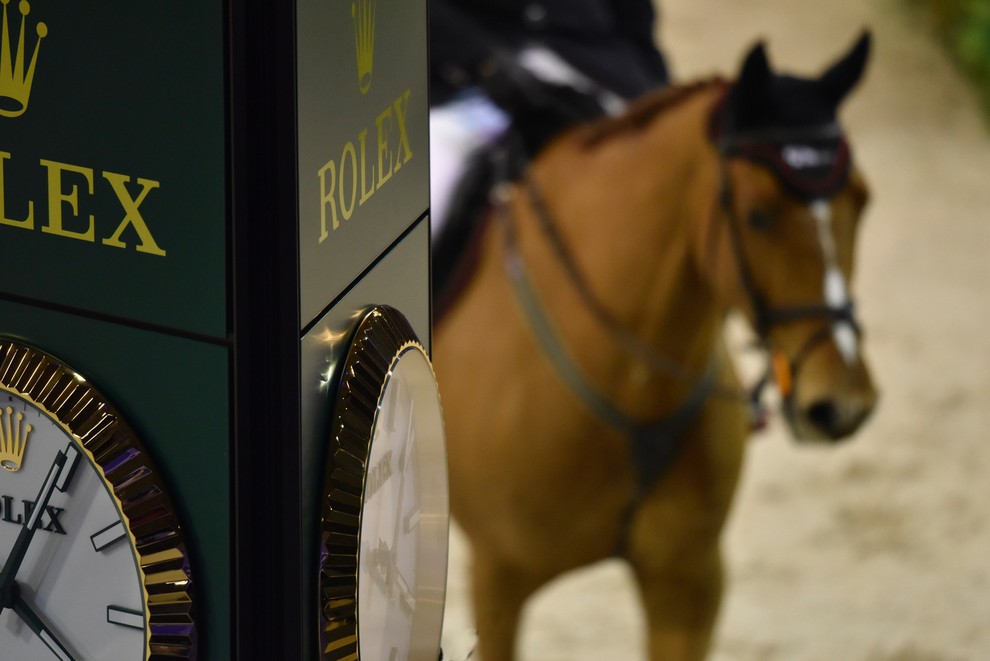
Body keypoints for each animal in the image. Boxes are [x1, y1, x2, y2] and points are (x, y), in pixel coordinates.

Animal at [433, 32, 878, 661]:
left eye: (862, 201)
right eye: (757, 214)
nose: (843, 406)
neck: (631, 387)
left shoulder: (688, 580)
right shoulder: (498, 579)